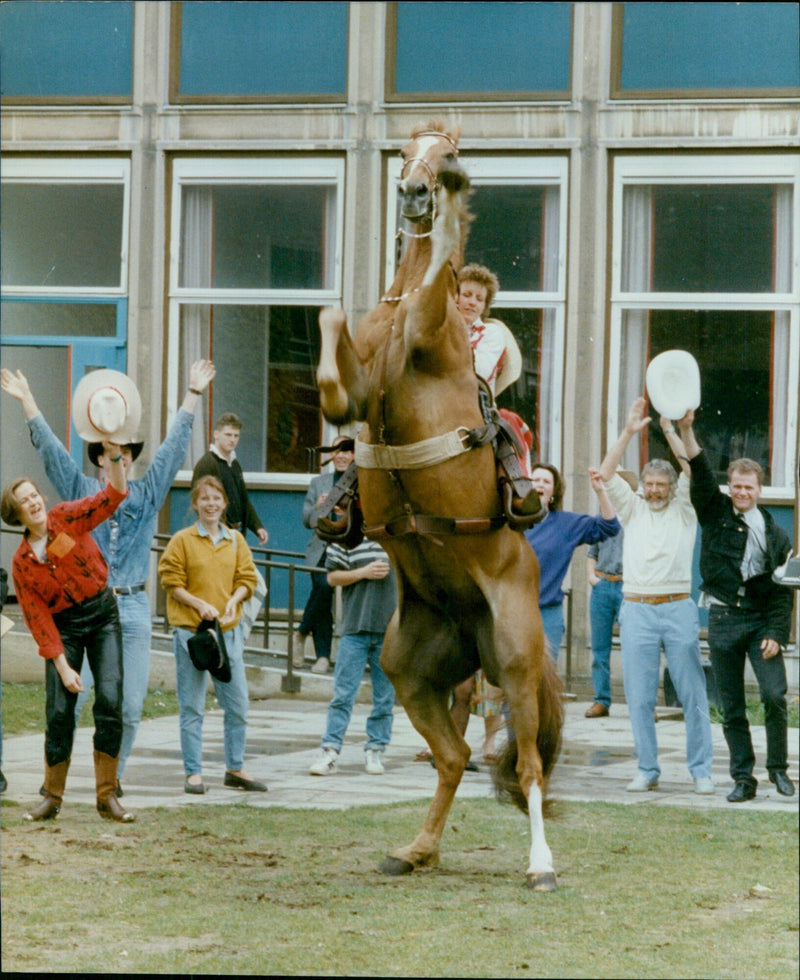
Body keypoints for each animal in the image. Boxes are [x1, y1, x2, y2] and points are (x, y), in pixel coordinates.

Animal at [316, 120, 560, 888]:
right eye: (404, 149)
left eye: (448, 154)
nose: (416, 191)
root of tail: (469, 621)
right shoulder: (359, 387)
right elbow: (334, 340)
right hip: (409, 668)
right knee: (452, 757)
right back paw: (417, 849)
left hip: (514, 659)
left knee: (530, 765)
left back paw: (540, 864)